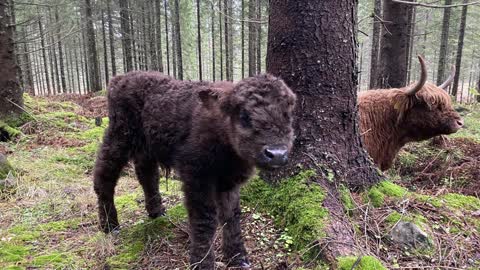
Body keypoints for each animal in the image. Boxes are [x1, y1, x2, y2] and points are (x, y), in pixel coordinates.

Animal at [93, 70, 296, 268]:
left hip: (146, 147)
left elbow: (232, 215)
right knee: (104, 174)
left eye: (288, 115)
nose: (277, 153)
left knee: (147, 174)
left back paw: (156, 211)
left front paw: (238, 258)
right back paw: (110, 225)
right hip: (119, 137)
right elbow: (204, 220)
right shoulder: (197, 177)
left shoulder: (229, 181)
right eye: (244, 116)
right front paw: (202, 262)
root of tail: (119, 79)